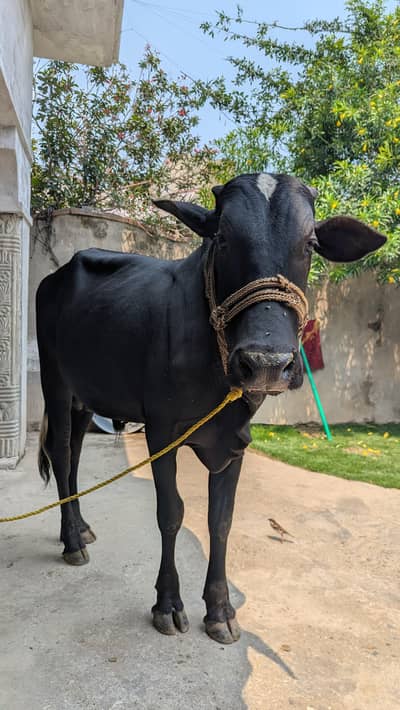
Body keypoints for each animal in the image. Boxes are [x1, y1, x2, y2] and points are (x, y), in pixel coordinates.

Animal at [36, 173, 386, 644]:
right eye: (221, 237)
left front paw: (220, 610)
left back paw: (79, 529)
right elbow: (171, 513)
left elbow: (221, 520)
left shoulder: (235, 442)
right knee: (60, 452)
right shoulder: (161, 431)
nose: (266, 363)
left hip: (84, 397)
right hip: (54, 381)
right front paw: (168, 604)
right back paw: (72, 543)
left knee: (72, 454)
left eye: (311, 243)